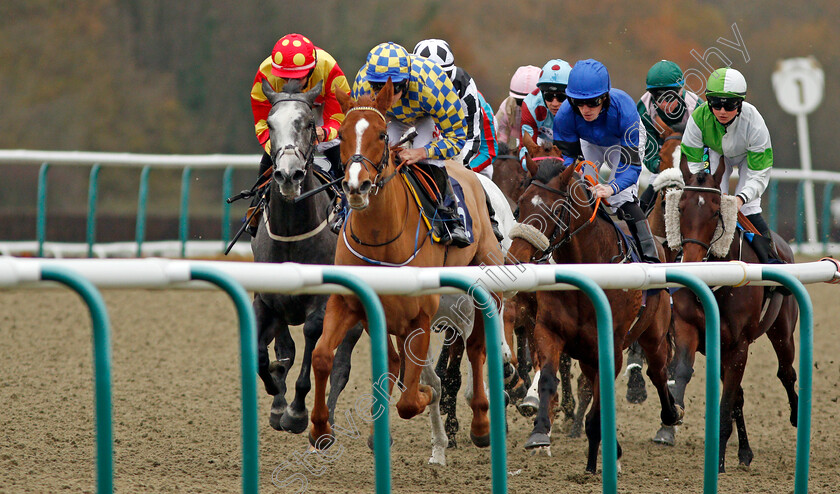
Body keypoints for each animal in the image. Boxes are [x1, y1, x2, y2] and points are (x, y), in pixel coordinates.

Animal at [254, 79, 362, 434]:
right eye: (270, 123)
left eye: (309, 123)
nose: (289, 175)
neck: (291, 237)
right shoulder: (266, 298)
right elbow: (267, 352)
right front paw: (276, 392)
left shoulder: (322, 302)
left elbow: (312, 342)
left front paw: (297, 412)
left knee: (340, 365)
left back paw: (325, 423)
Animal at [308, 81, 506, 466]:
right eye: (342, 135)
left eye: (383, 135)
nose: (357, 186)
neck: (381, 240)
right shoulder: (352, 305)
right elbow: (323, 356)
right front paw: (320, 429)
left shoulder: (420, 316)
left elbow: (412, 399)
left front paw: (428, 395)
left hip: (483, 279)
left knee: (477, 345)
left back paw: (480, 422)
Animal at [506, 159, 684, 474]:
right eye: (519, 208)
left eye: (554, 211)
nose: (515, 258)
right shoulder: (549, 331)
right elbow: (549, 377)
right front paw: (539, 432)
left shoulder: (610, 347)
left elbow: (599, 405)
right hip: (589, 354)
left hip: (654, 334)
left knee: (658, 371)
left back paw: (670, 414)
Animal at [664, 157, 800, 470]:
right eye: (680, 207)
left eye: (716, 211)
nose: (690, 263)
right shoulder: (688, 326)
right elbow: (683, 369)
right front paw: (675, 409)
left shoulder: (739, 346)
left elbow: (725, 405)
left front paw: (719, 461)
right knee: (739, 394)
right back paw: (745, 451)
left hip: (782, 331)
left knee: (786, 372)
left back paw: (796, 414)